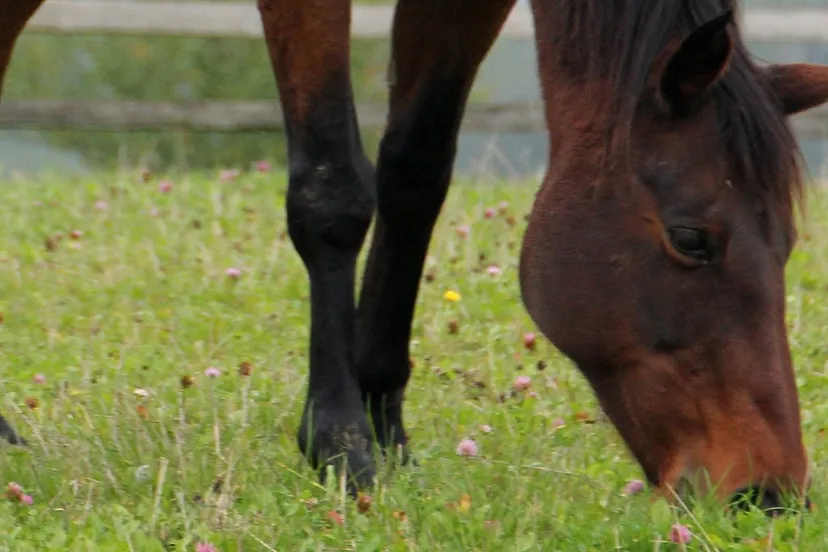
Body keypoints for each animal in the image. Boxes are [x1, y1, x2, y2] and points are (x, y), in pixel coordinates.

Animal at [4, 0, 828, 514]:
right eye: (691, 239)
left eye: (787, 244)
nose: (767, 493)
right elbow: (333, 190)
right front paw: (339, 444)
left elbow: (415, 169)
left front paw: (384, 420)